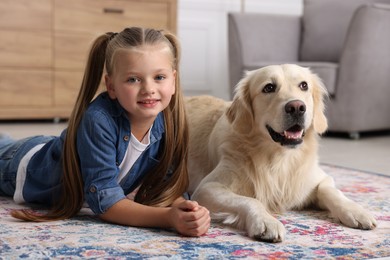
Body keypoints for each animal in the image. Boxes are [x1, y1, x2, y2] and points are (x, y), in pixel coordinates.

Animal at [186, 64, 378, 243]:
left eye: (304, 85)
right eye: (268, 87)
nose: (297, 107)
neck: (280, 157)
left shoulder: (319, 177)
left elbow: (330, 191)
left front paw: (356, 211)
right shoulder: (207, 188)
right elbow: (250, 200)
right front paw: (266, 222)